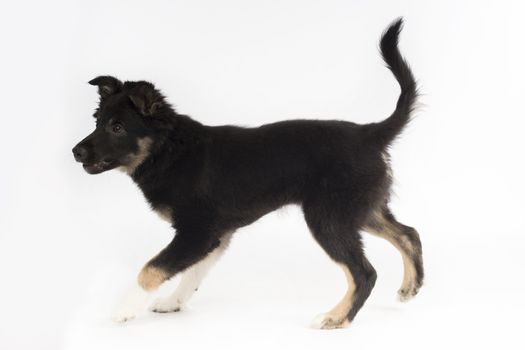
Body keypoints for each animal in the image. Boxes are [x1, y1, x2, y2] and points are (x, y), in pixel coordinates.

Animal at [71, 18, 422, 330]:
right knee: (408, 233)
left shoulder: (197, 232)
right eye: (97, 121)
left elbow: (151, 267)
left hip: (329, 217)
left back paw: (336, 318)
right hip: (360, 209)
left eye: (117, 127)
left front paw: (124, 308)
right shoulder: (215, 235)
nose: (76, 152)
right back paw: (410, 287)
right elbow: (192, 273)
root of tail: (369, 133)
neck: (170, 151)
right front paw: (174, 302)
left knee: (365, 272)